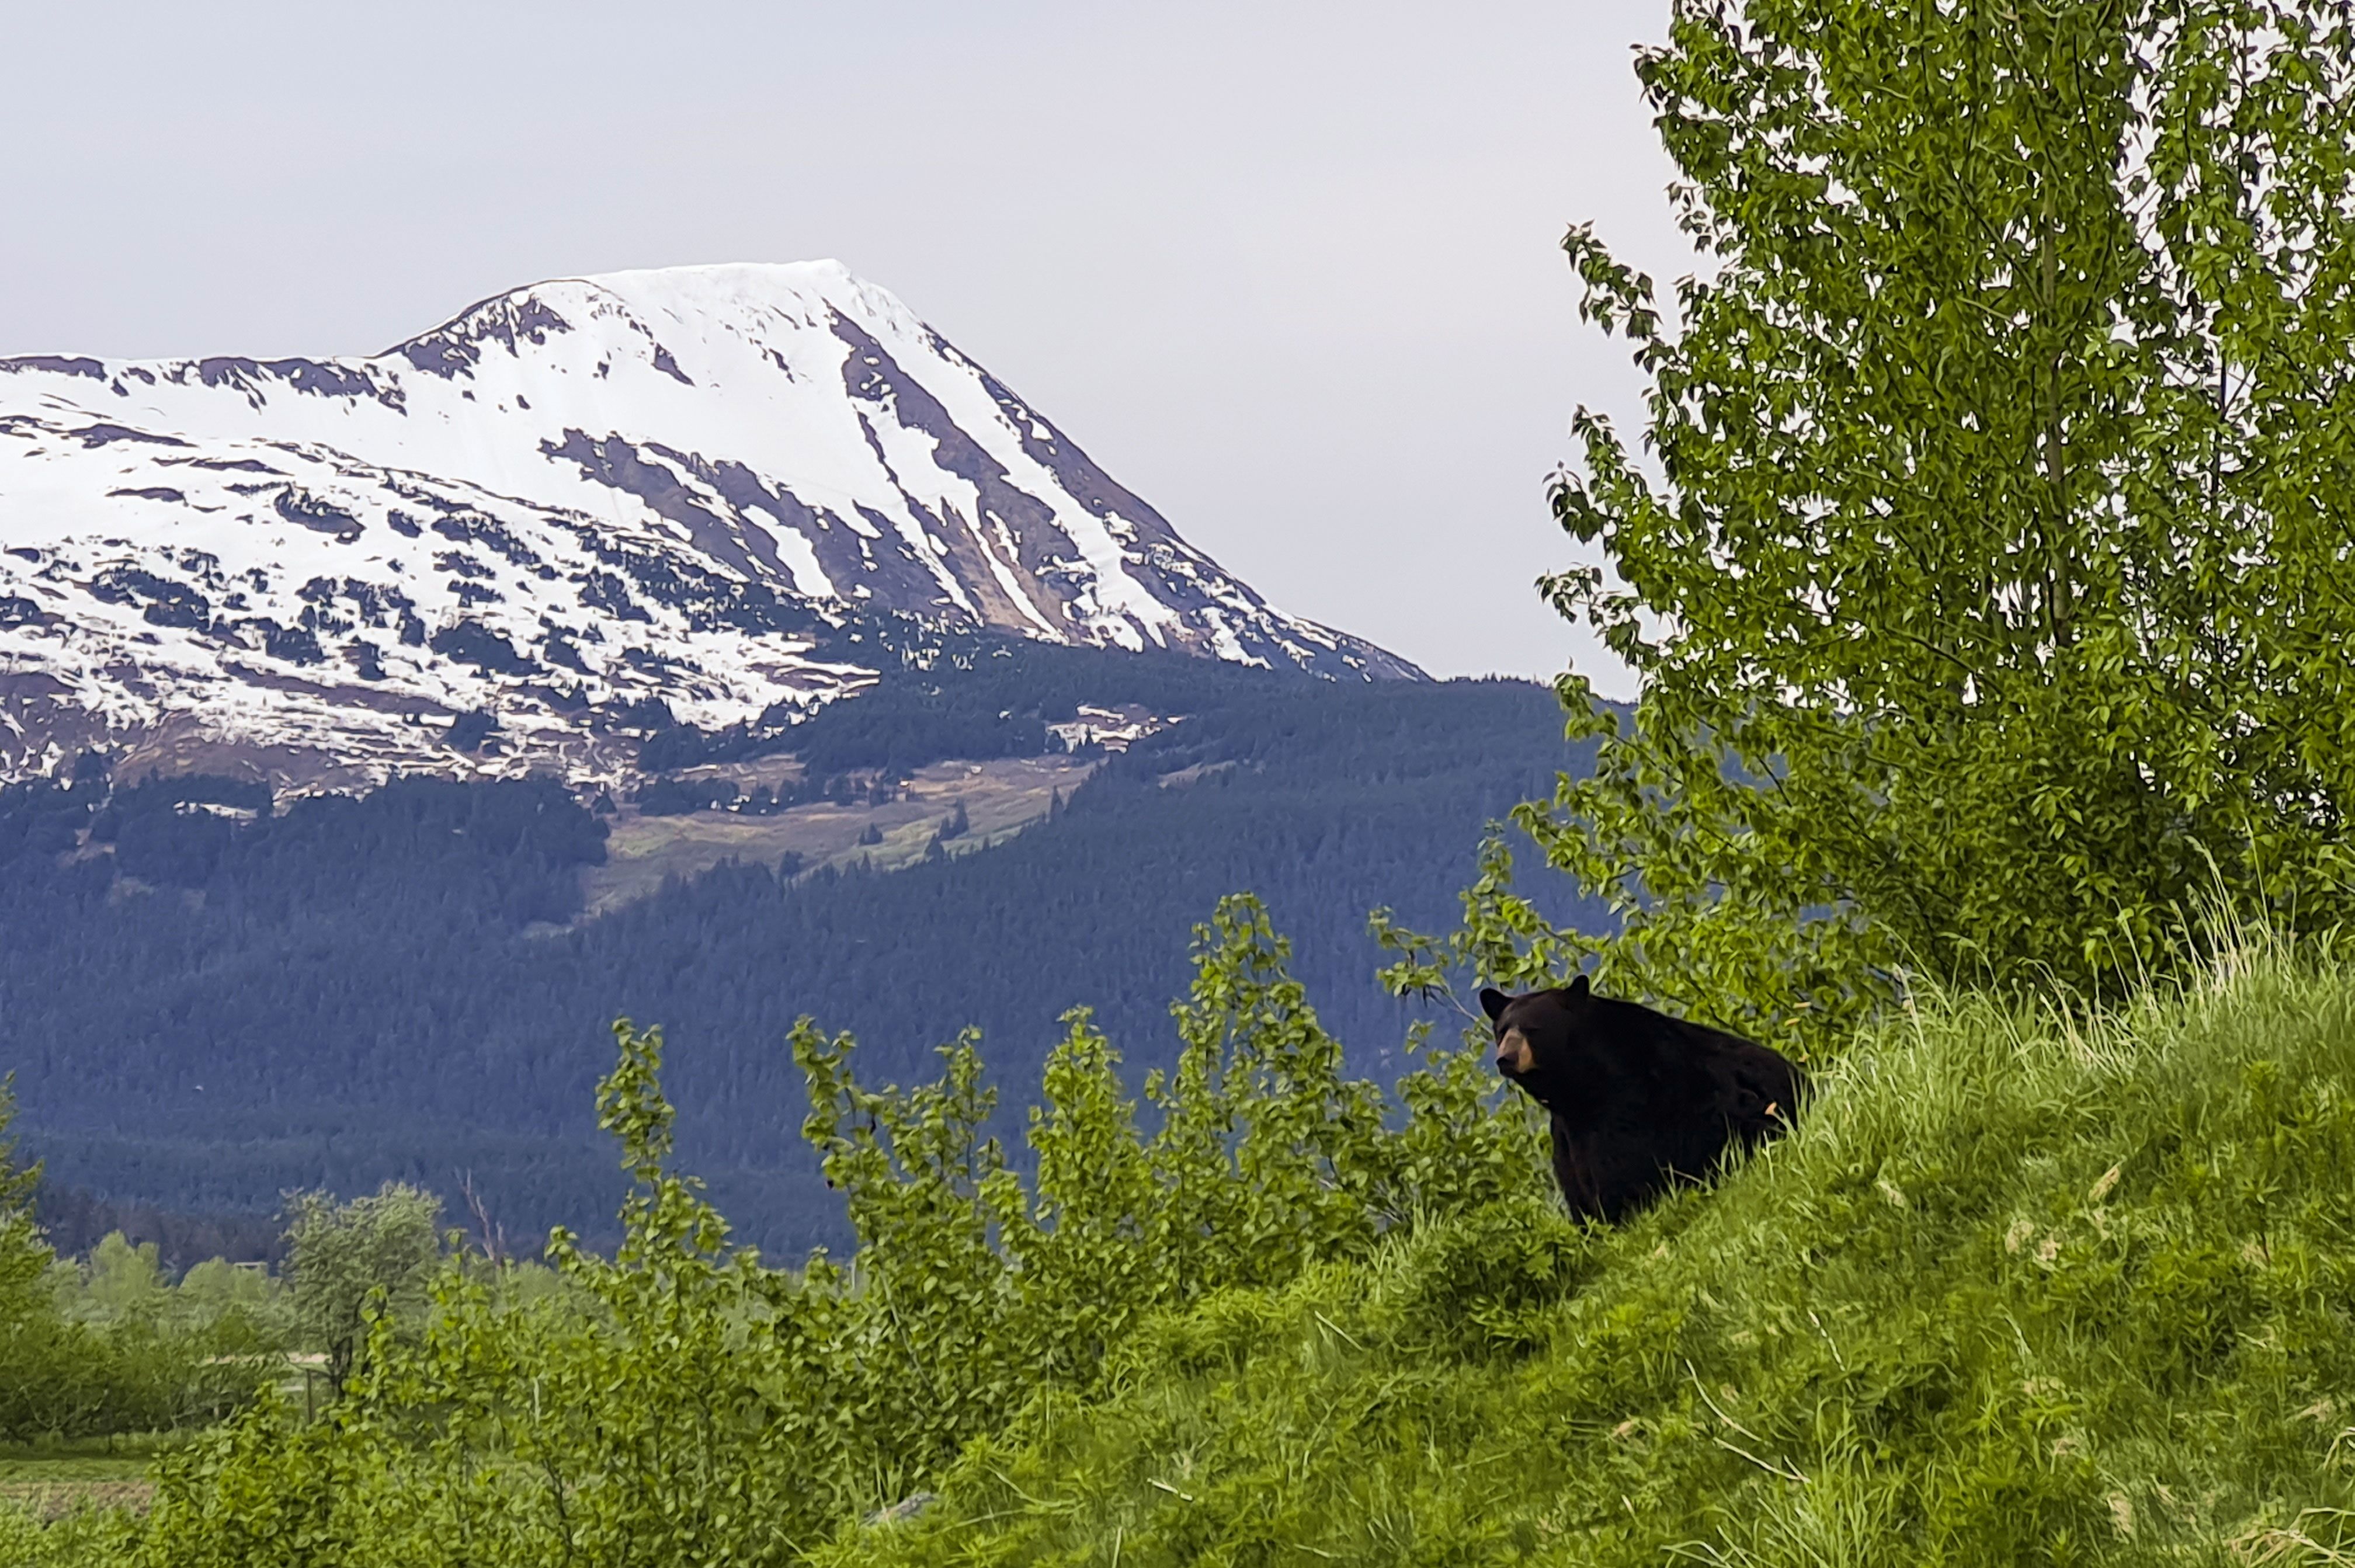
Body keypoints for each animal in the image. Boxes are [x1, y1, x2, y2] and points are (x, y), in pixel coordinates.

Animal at [1480, 975, 1804, 1223]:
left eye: (1533, 1028)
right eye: (1503, 1031)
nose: (1506, 1058)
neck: (1581, 1090)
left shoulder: (1634, 1106)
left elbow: (1622, 1172)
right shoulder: (1566, 1135)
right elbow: (1576, 1187)